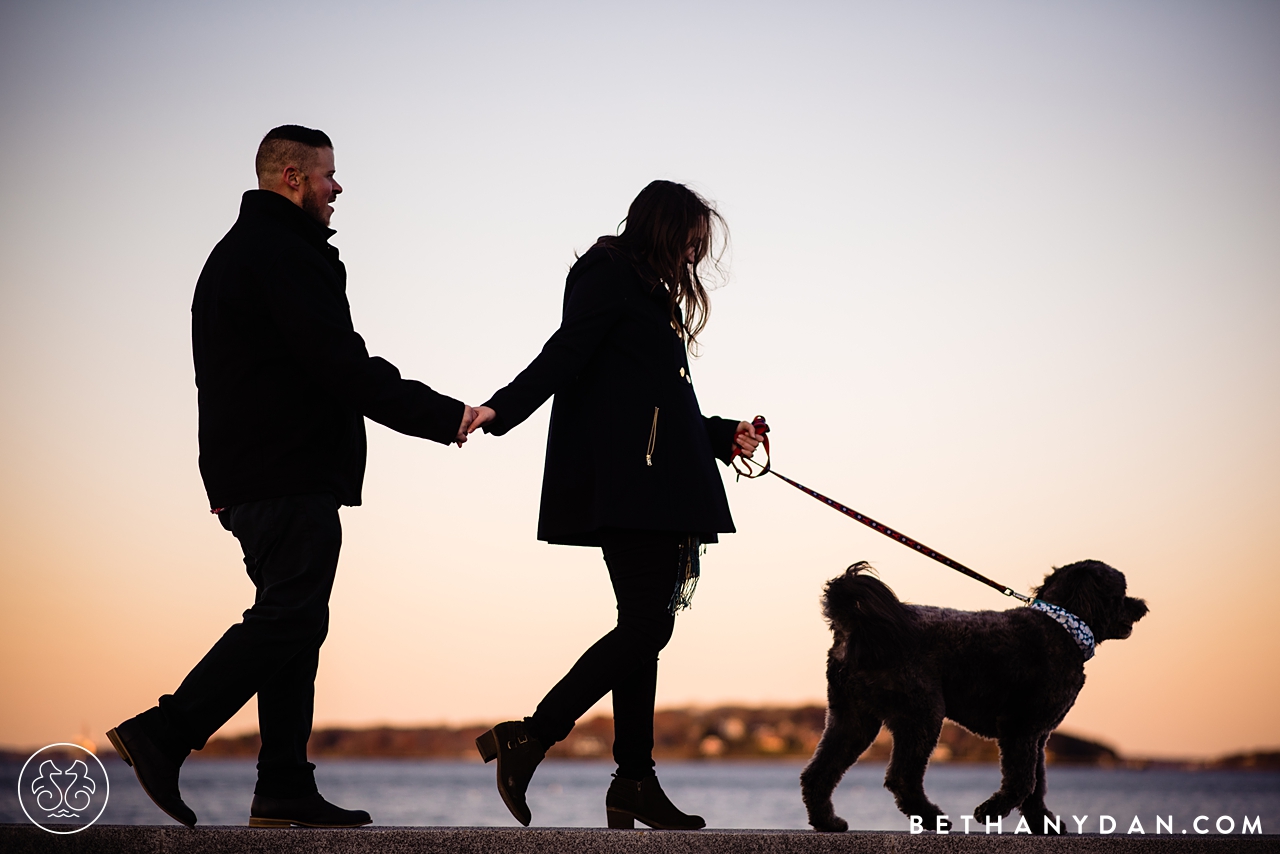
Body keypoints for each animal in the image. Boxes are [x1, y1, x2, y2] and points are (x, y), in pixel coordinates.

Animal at [798, 560, 1152, 834]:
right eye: (1121, 590)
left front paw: (1043, 824)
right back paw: (932, 818)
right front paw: (990, 812)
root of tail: (856, 625)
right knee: (901, 777)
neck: (1062, 627)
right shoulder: (1020, 728)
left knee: (818, 774)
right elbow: (1022, 781)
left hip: (852, 719)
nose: (1142, 607)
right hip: (923, 712)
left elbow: (1036, 785)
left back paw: (827, 822)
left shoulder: (1038, 737)